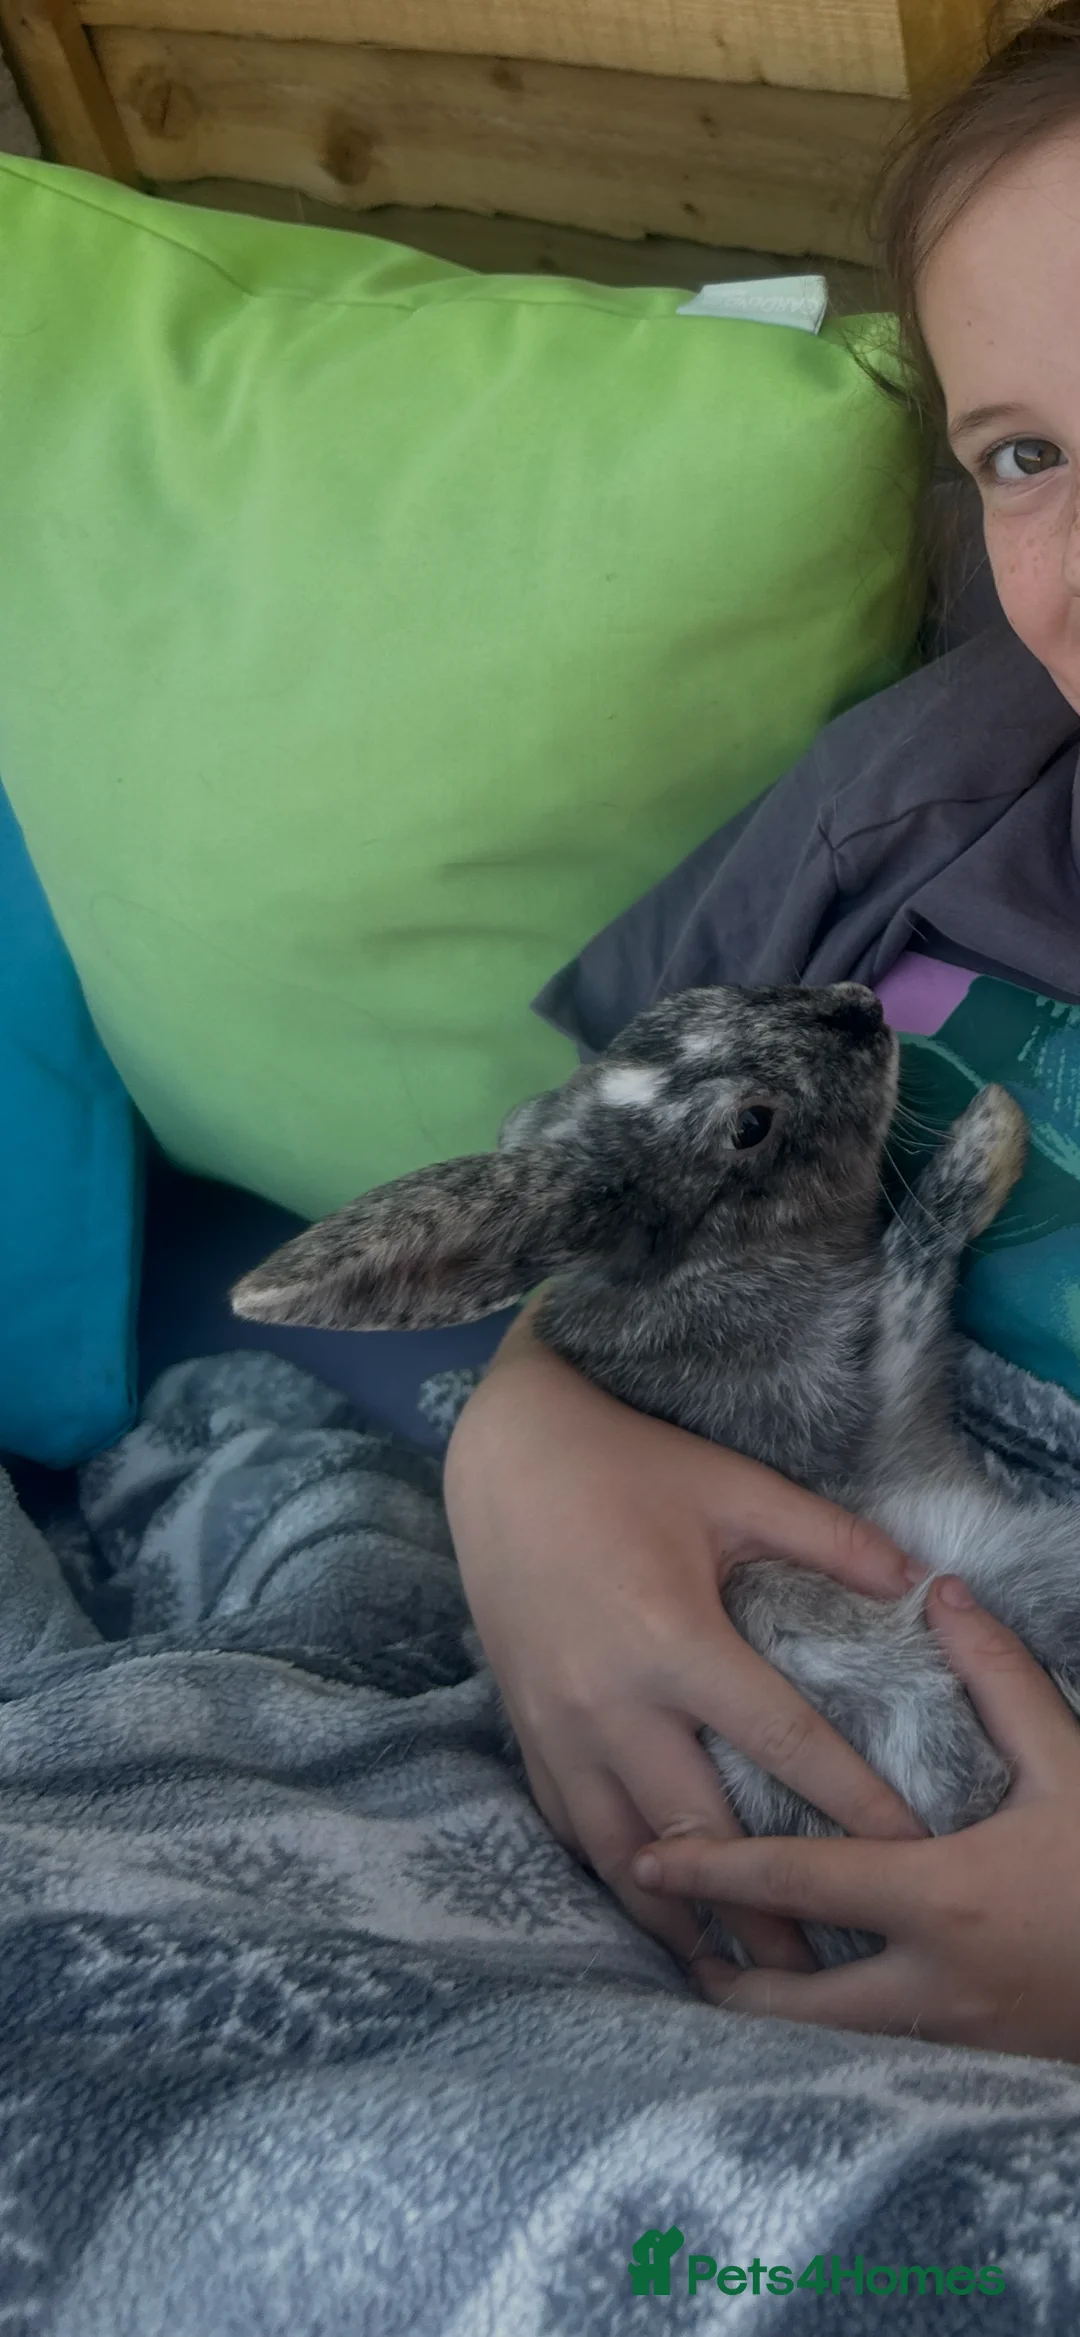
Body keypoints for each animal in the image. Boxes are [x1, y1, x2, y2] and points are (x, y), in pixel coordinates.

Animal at [230, 982, 1080, 1965]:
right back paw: (970, 1770)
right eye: (750, 1125)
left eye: (695, 998)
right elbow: (915, 1261)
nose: (864, 1007)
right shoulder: (862, 1398)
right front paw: (995, 1134)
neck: (711, 1260)